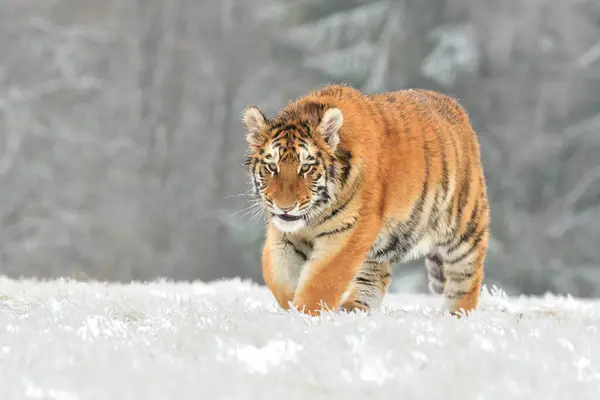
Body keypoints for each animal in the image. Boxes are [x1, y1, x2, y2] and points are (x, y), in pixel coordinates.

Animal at [241, 83, 490, 316]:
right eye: (272, 167)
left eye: (306, 167)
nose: (285, 207)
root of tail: (457, 106)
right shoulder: (284, 236)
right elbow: (279, 277)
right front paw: (291, 308)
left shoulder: (347, 232)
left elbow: (320, 281)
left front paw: (306, 315)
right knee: (375, 275)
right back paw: (355, 308)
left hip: (464, 229)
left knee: (466, 278)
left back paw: (456, 315)